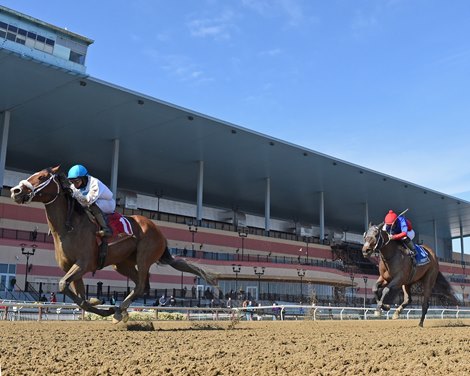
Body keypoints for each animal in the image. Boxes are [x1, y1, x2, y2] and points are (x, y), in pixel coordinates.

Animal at [9, 167, 218, 324]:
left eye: (42, 177)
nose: (15, 191)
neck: (68, 227)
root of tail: (158, 230)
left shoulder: (83, 264)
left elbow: (62, 285)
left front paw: (107, 308)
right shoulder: (72, 268)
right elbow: (80, 298)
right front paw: (99, 303)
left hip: (144, 257)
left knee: (141, 285)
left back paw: (119, 310)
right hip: (122, 263)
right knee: (140, 285)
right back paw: (120, 310)